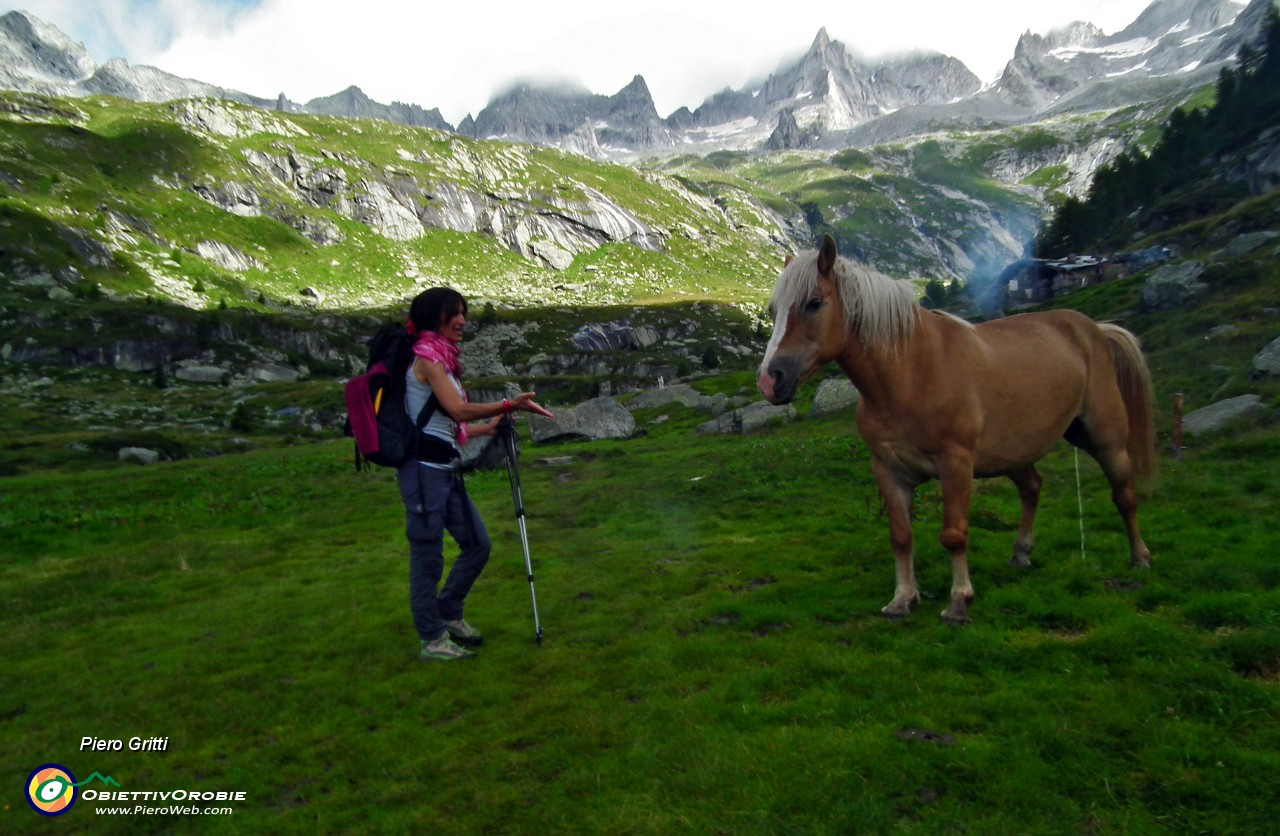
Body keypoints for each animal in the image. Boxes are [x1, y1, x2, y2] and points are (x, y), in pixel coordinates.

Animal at [752, 234, 1157, 619]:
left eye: (814, 302)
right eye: (773, 311)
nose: (770, 380)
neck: (910, 374)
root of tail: (1093, 329)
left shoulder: (956, 466)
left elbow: (954, 534)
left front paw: (959, 602)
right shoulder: (888, 470)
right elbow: (901, 536)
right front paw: (902, 600)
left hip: (1104, 438)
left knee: (1124, 495)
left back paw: (1140, 558)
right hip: (1014, 452)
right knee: (1032, 488)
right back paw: (1021, 553)